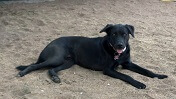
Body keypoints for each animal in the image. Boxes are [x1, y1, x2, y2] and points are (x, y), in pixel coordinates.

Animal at [15, 23, 167, 89]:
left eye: (124, 34)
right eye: (113, 34)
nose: (120, 46)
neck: (117, 54)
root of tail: (50, 43)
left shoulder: (127, 63)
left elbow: (146, 70)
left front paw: (159, 76)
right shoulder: (108, 70)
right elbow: (126, 76)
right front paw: (139, 83)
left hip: (69, 62)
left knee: (51, 69)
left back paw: (55, 77)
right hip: (56, 57)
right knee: (34, 65)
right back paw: (22, 73)